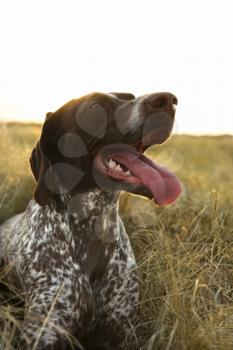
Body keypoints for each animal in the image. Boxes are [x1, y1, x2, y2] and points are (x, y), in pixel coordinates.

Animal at [0, 91, 181, 348]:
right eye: (94, 106)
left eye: (130, 96)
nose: (167, 100)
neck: (93, 226)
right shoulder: (46, 332)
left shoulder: (119, 332)